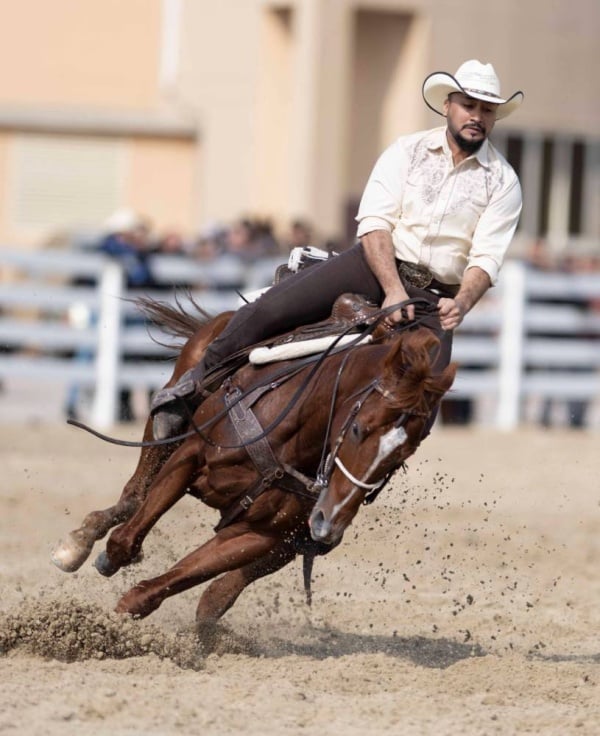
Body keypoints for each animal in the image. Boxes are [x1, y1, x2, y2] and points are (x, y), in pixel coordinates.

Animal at [52, 300, 454, 632]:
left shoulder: (262, 535)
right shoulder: (189, 457)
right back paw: (80, 542)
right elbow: (125, 540)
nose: (329, 521)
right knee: (136, 493)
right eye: (357, 428)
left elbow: (177, 583)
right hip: (168, 420)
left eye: (400, 459)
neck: (295, 433)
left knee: (214, 592)